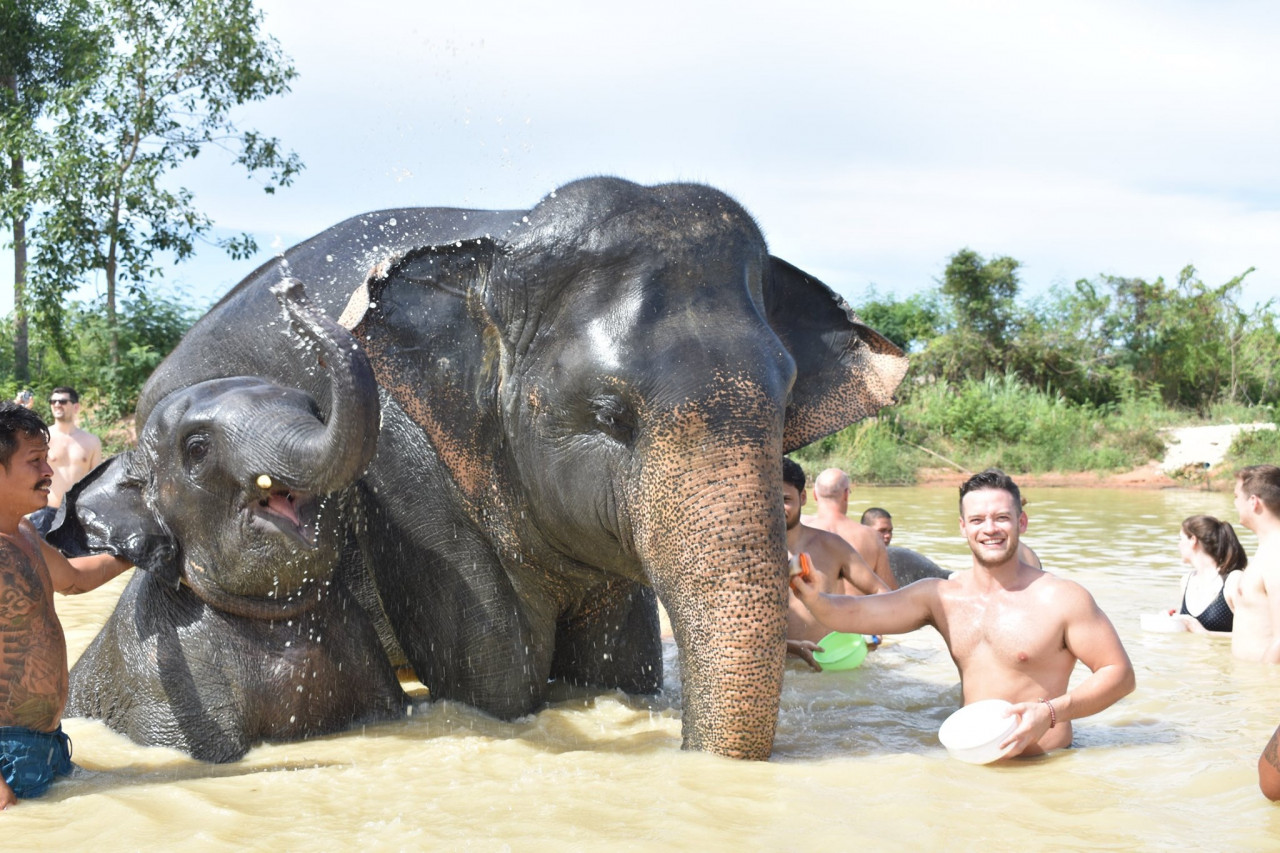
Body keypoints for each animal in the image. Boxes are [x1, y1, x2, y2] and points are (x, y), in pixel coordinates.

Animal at [112, 174, 911, 758]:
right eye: (610, 415)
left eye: (785, 402)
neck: (502, 246)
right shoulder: (407, 475)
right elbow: (497, 682)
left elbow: (619, 667)